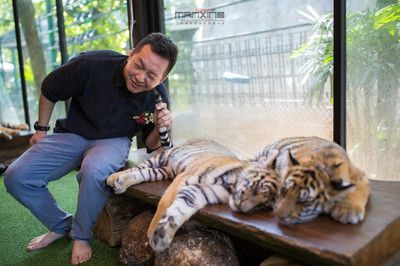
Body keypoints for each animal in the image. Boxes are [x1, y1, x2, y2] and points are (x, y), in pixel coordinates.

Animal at [107, 139, 282, 251]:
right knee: (137, 168)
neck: (230, 186)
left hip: (162, 172)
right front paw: (152, 233)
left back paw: (121, 183)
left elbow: (179, 210)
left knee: (142, 173)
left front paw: (163, 236)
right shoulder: (184, 178)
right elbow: (164, 203)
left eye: (264, 204)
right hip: (161, 159)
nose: (242, 208)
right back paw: (113, 178)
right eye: (258, 187)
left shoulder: (198, 192)